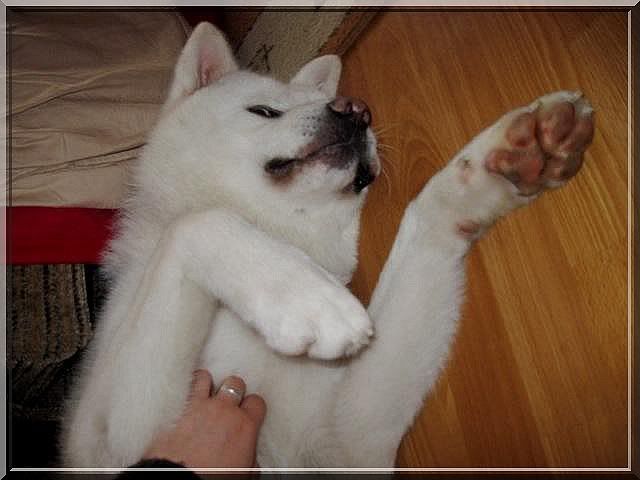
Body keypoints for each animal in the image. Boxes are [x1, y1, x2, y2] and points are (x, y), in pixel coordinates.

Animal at [62, 22, 595, 468]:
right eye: (263, 110)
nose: (356, 110)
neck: (280, 233)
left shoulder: (346, 441)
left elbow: (426, 215)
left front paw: (499, 166)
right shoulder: (115, 441)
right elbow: (198, 222)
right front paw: (305, 298)